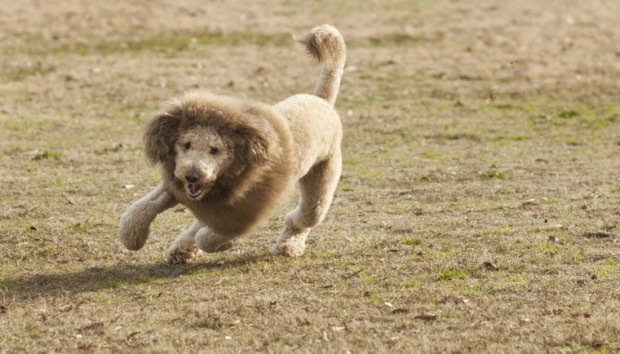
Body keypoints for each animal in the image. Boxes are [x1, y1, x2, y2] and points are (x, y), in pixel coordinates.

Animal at [118, 24, 346, 262]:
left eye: (215, 150)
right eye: (186, 144)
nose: (192, 176)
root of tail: (321, 100)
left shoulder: (242, 213)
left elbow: (209, 237)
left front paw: (221, 244)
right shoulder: (178, 187)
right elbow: (141, 209)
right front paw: (132, 236)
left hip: (321, 182)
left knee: (304, 217)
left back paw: (287, 245)